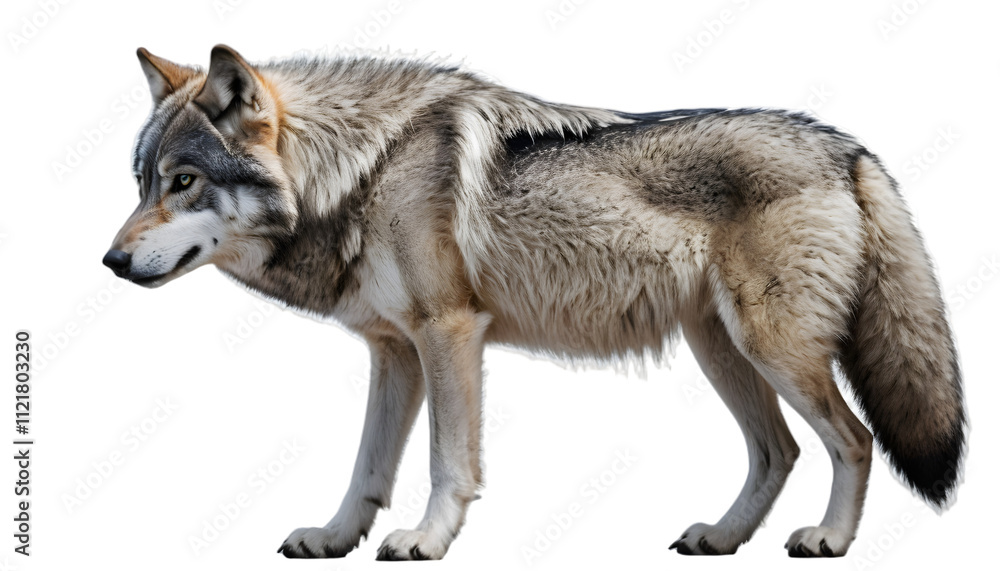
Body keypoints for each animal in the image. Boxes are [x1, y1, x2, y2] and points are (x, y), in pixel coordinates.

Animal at [103, 45, 965, 560]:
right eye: (143, 182)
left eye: (185, 182)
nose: (110, 261)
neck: (363, 170)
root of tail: (847, 146)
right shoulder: (394, 350)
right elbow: (367, 466)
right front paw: (337, 535)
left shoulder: (450, 332)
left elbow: (447, 460)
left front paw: (427, 538)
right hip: (722, 351)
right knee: (778, 450)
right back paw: (722, 536)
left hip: (775, 349)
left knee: (854, 439)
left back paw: (829, 537)